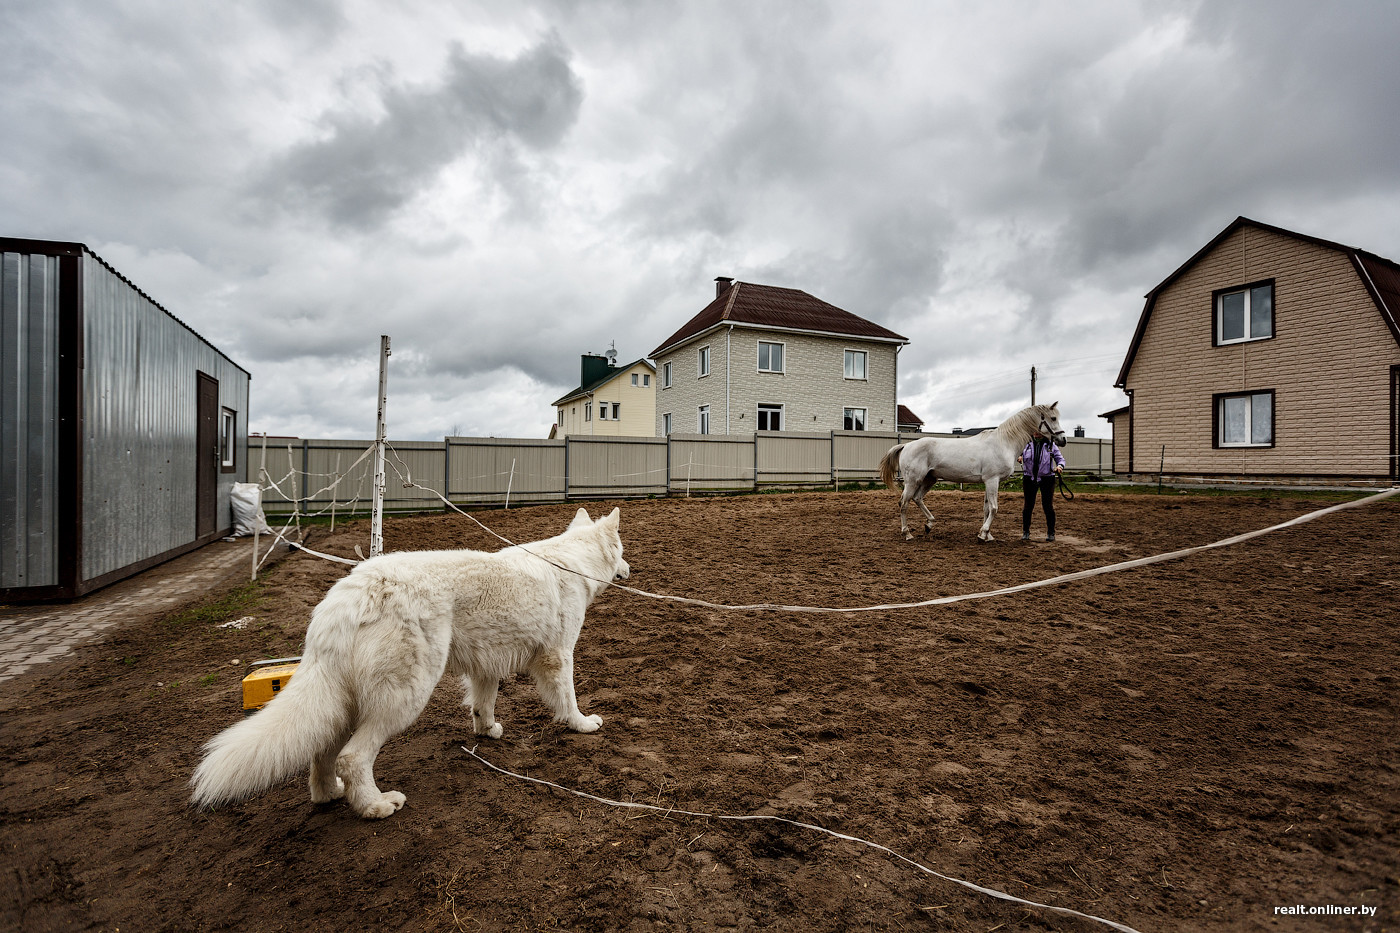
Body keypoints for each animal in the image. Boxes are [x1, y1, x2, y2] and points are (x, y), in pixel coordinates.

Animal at [189, 504, 627, 818]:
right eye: (622, 550)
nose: (629, 568)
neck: (573, 562)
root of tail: (353, 592)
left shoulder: (487, 664)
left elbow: (483, 703)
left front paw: (487, 731)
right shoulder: (558, 656)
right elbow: (567, 699)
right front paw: (581, 725)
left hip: (345, 700)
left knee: (322, 750)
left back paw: (330, 794)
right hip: (404, 696)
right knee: (351, 757)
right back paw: (375, 806)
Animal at [879, 400, 1064, 546]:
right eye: (1053, 418)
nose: (1063, 440)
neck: (1003, 442)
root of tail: (906, 445)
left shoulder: (989, 482)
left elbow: (987, 509)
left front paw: (987, 535)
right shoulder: (992, 480)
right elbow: (994, 508)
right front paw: (983, 535)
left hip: (929, 479)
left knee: (917, 499)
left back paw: (929, 525)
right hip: (913, 481)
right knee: (904, 503)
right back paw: (907, 534)